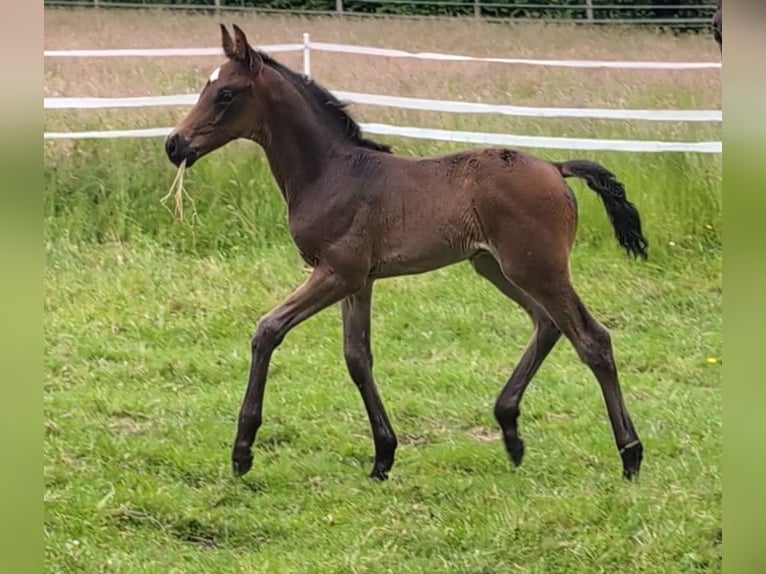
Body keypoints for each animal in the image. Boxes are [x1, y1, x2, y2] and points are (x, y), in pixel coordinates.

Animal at [165, 24, 652, 484]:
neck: (331, 173)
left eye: (226, 93)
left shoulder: (337, 273)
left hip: (537, 268)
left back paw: (630, 454)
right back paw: (511, 432)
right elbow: (357, 358)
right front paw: (383, 456)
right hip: (494, 266)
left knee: (592, 339)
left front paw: (242, 451)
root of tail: (555, 167)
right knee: (547, 324)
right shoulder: (358, 281)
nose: (175, 144)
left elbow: (267, 330)